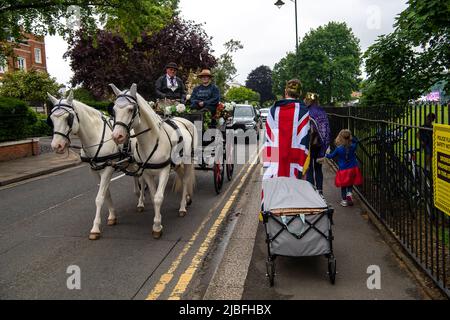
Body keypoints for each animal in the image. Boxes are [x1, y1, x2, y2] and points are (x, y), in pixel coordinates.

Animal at [47, 90, 146, 240]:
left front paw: (95, 228)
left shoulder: (108, 169)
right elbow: (106, 194)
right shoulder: (94, 171)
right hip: (130, 161)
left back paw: (141, 201)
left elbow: (99, 198)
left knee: (141, 177)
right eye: (51, 119)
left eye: (68, 118)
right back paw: (138, 193)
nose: (56, 146)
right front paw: (112, 216)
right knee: (136, 176)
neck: (97, 137)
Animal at [110, 84, 196, 239]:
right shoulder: (147, 173)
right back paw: (186, 199)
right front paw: (157, 220)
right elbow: (152, 194)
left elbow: (158, 198)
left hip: (187, 162)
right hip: (177, 165)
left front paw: (157, 226)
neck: (151, 140)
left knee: (186, 180)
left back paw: (182, 207)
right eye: (113, 109)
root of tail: (183, 120)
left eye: (131, 109)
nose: (117, 136)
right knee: (181, 178)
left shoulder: (164, 171)